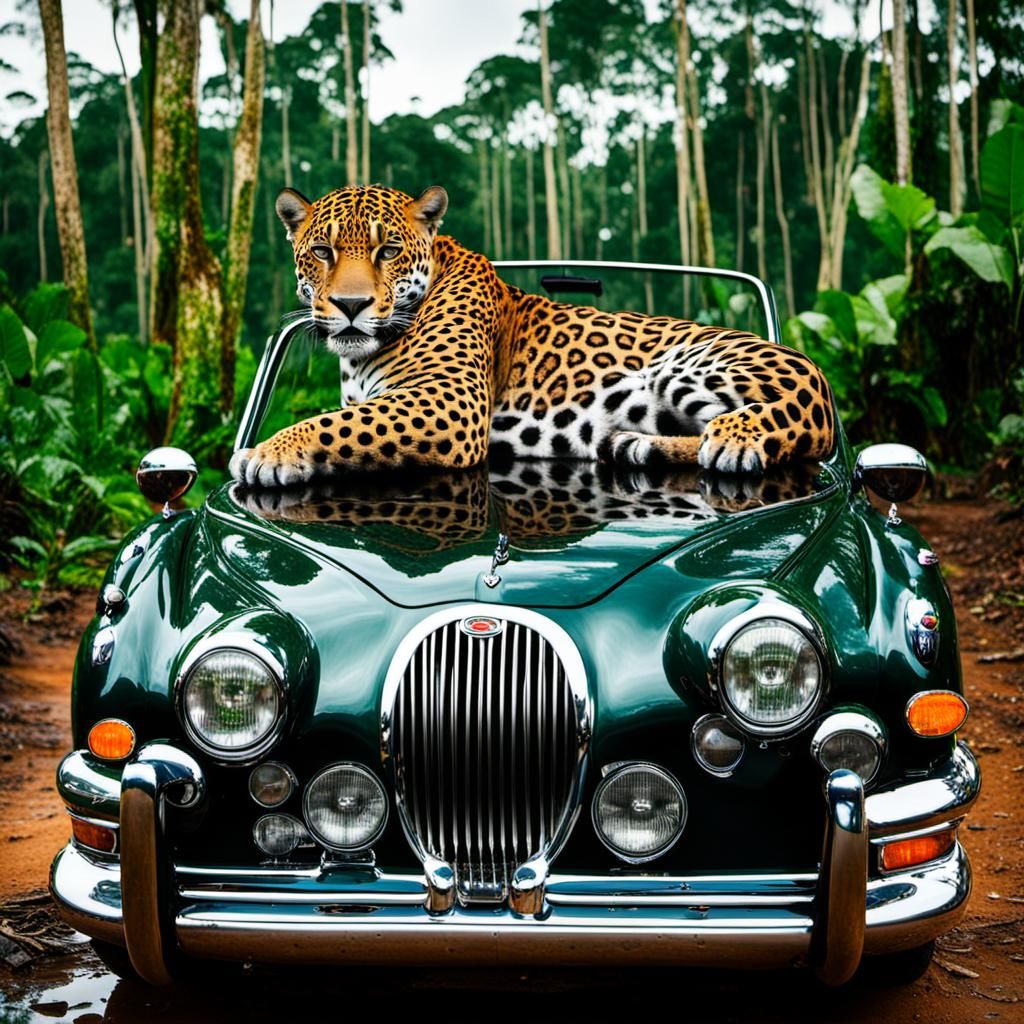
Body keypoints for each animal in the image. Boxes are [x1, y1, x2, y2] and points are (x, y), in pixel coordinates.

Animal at [229, 184, 835, 488]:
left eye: (389, 250)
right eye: (321, 251)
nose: (350, 306)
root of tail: (821, 376)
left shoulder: (449, 401)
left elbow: (337, 424)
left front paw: (268, 452)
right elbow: (348, 418)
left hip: (690, 366)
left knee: (780, 426)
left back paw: (735, 441)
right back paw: (632, 444)